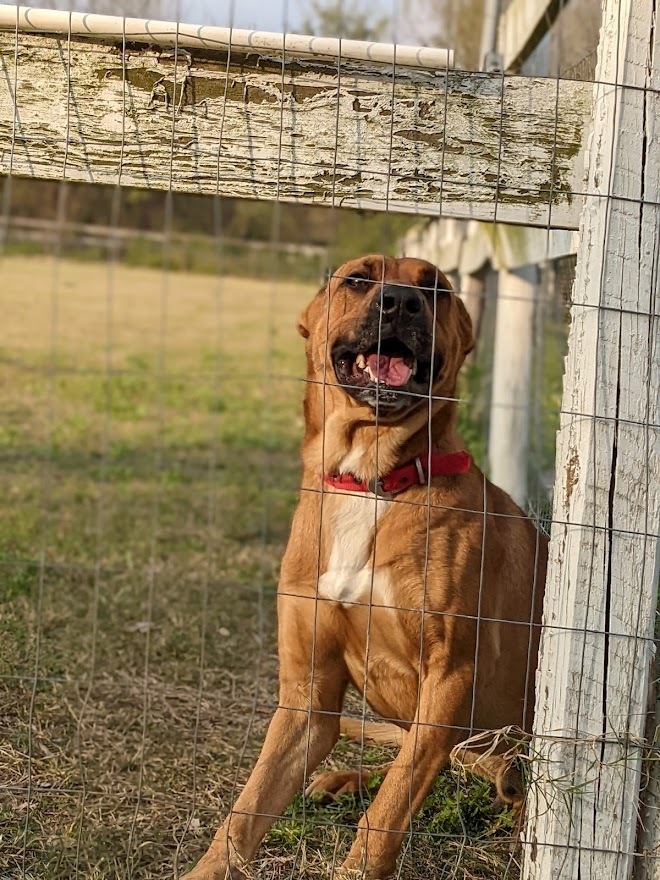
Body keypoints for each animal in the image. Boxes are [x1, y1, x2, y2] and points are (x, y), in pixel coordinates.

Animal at [184, 254, 548, 880]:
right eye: (358, 278)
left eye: (436, 287)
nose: (400, 301)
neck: (372, 479)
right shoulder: (306, 700)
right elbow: (244, 813)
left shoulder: (450, 679)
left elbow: (386, 813)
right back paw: (345, 779)